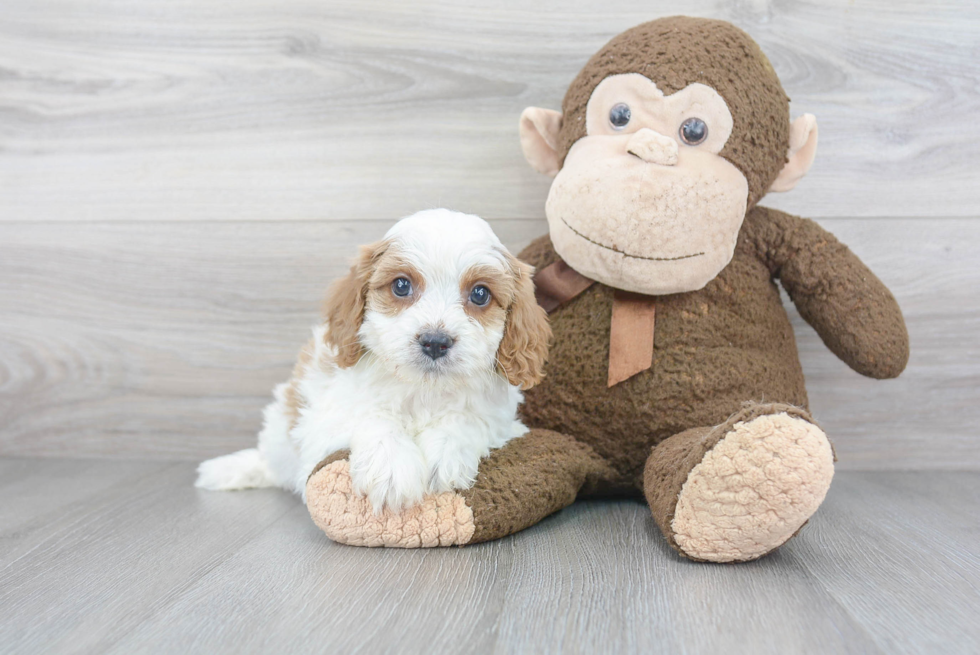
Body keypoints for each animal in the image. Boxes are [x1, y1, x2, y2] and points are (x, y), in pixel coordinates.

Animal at [195, 210, 552, 512]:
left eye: (480, 294)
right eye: (401, 285)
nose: (435, 342)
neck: (422, 390)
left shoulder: (502, 420)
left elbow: (469, 419)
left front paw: (445, 453)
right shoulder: (324, 418)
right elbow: (372, 417)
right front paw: (392, 469)